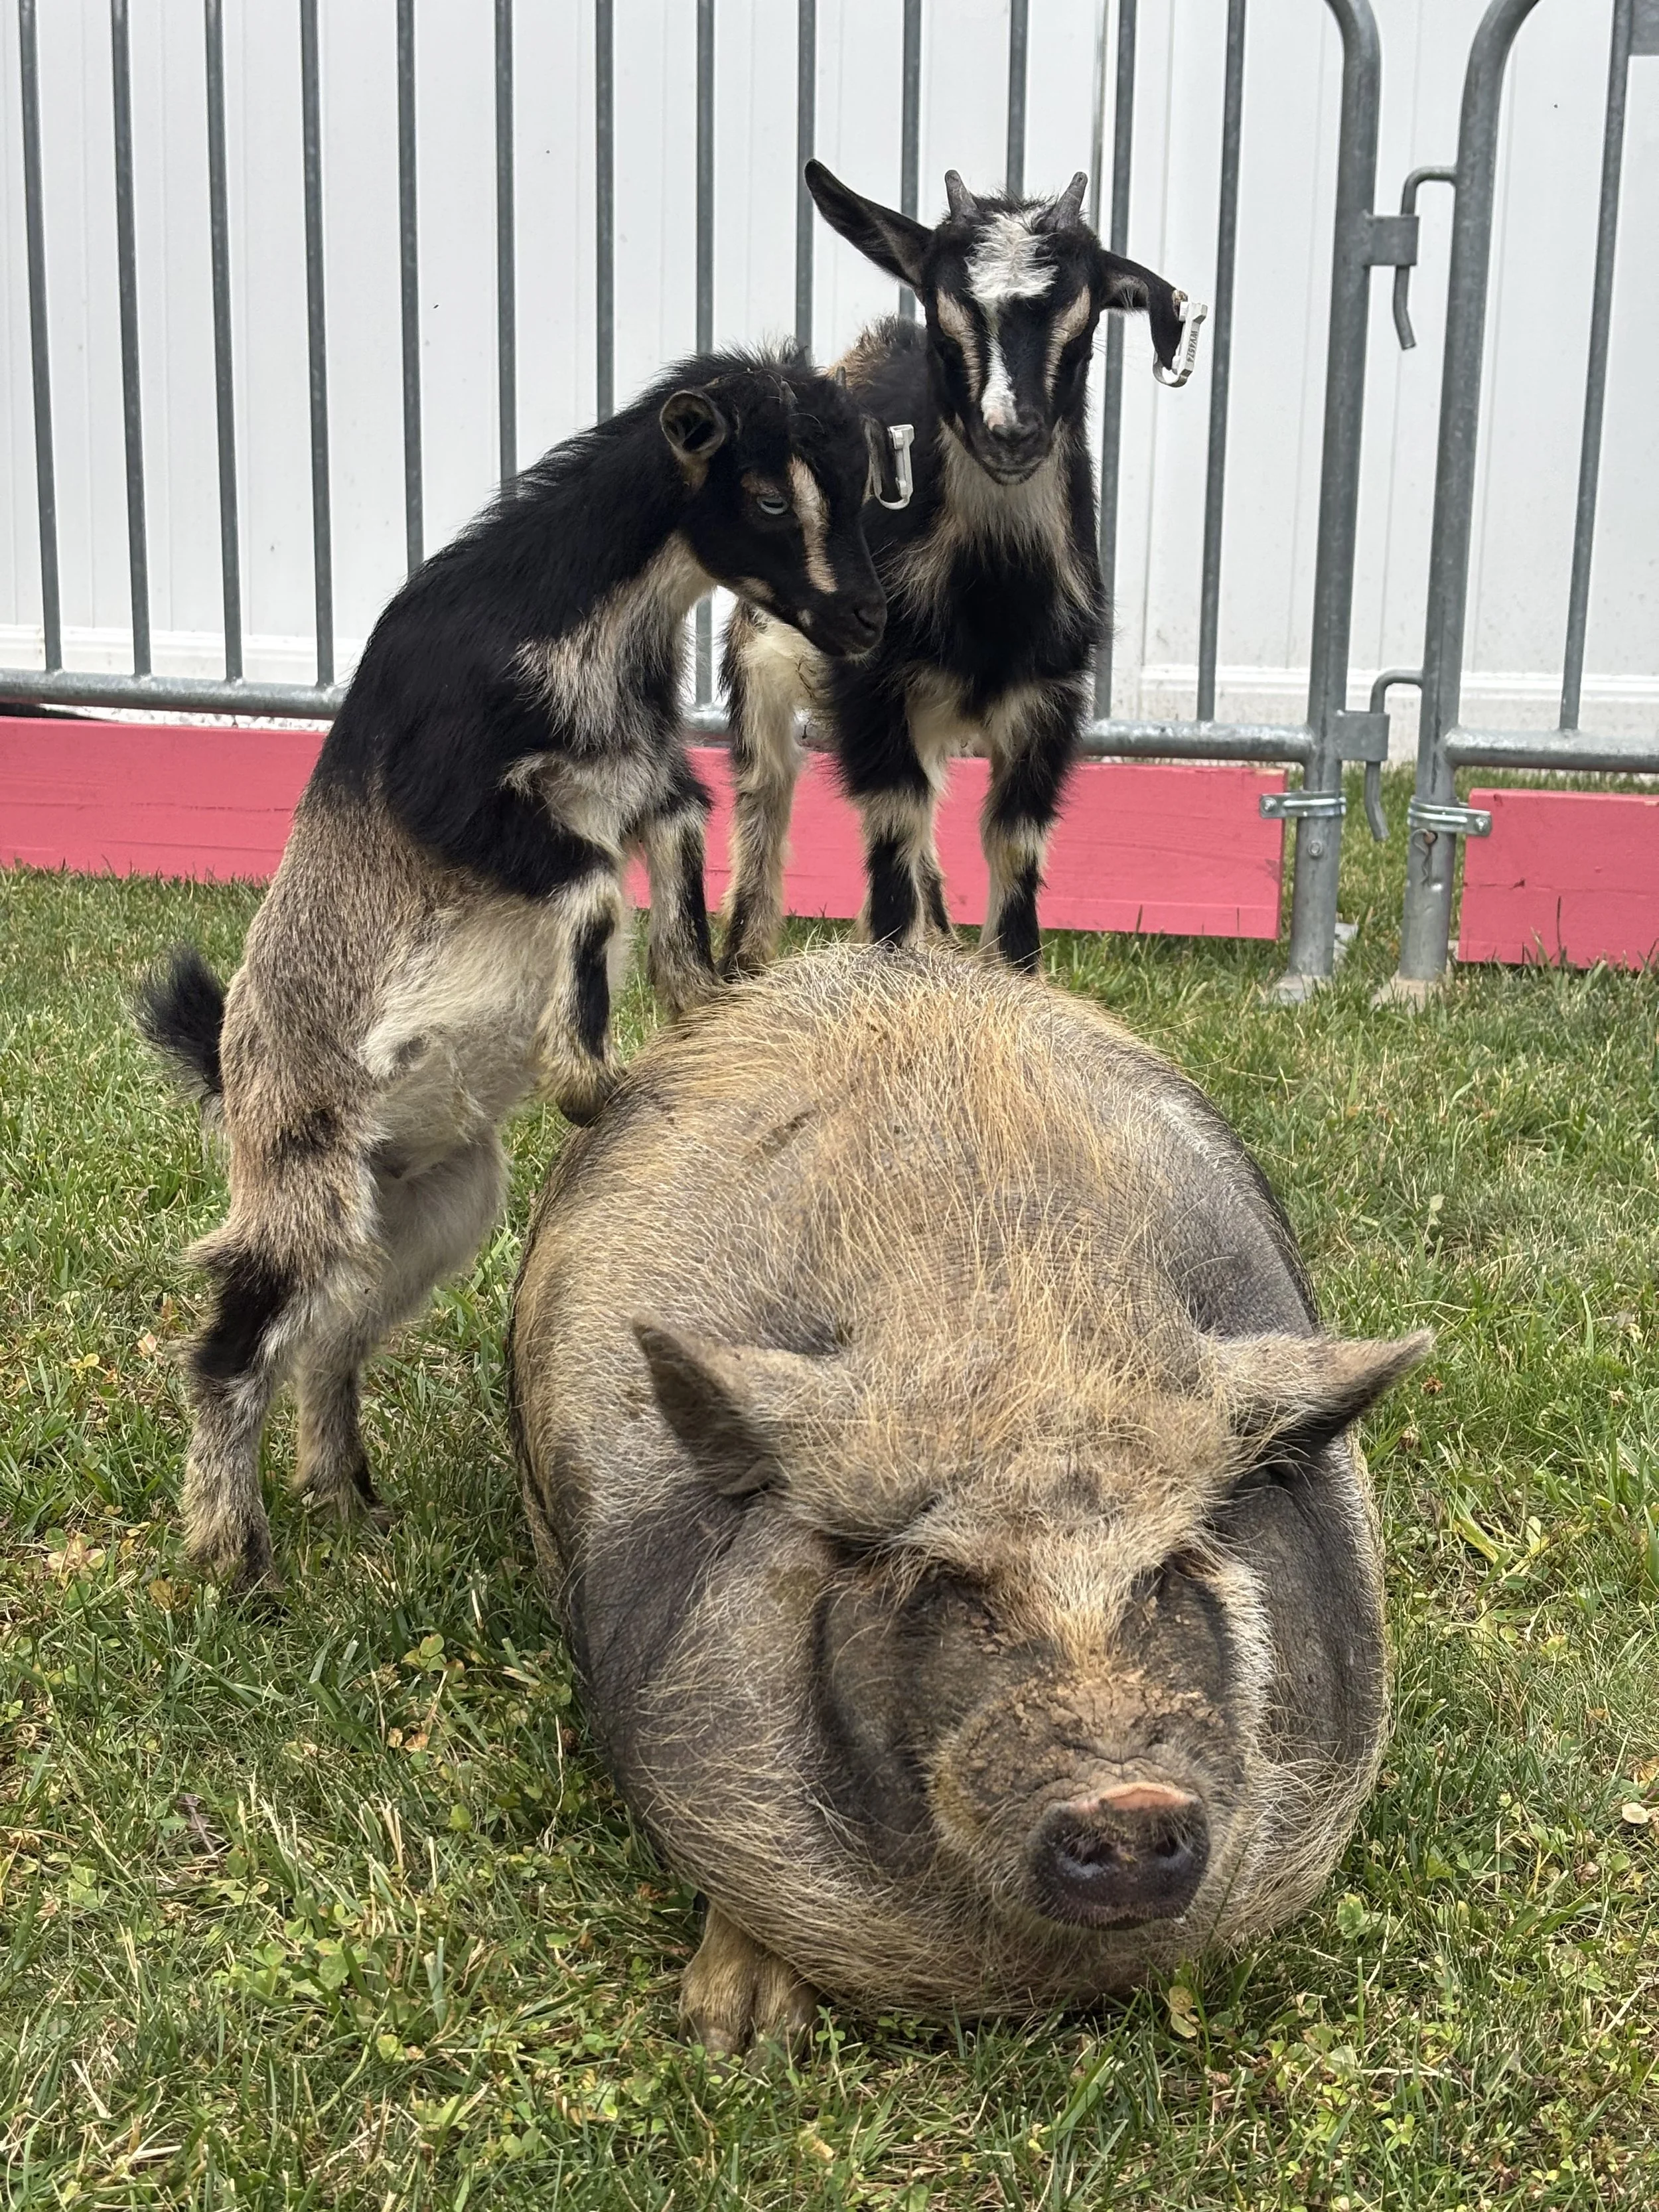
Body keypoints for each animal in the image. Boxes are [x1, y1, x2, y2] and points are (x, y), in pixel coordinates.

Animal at [138, 347, 885, 1591]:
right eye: (769, 497)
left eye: (868, 480)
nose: (869, 616)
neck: (578, 619)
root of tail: (236, 1075)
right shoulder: (450, 789)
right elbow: (589, 883)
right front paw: (586, 1072)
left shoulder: (646, 774)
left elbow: (678, 846)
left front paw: (704, 1003)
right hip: (302, 1168)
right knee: (238, 1340)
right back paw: (236, 1555)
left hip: (436, 1207)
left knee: (333, 1332)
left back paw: (346, 1498)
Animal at [719, 165, 1194, 975]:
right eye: (946, 324)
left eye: (1083, 328)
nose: (1011, 433)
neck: (991, 603)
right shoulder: (871, 686)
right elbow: (893, 831)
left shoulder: (1049, 699)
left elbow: (1014, 843)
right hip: (759, 653)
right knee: (765, 788)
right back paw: (738, 969)